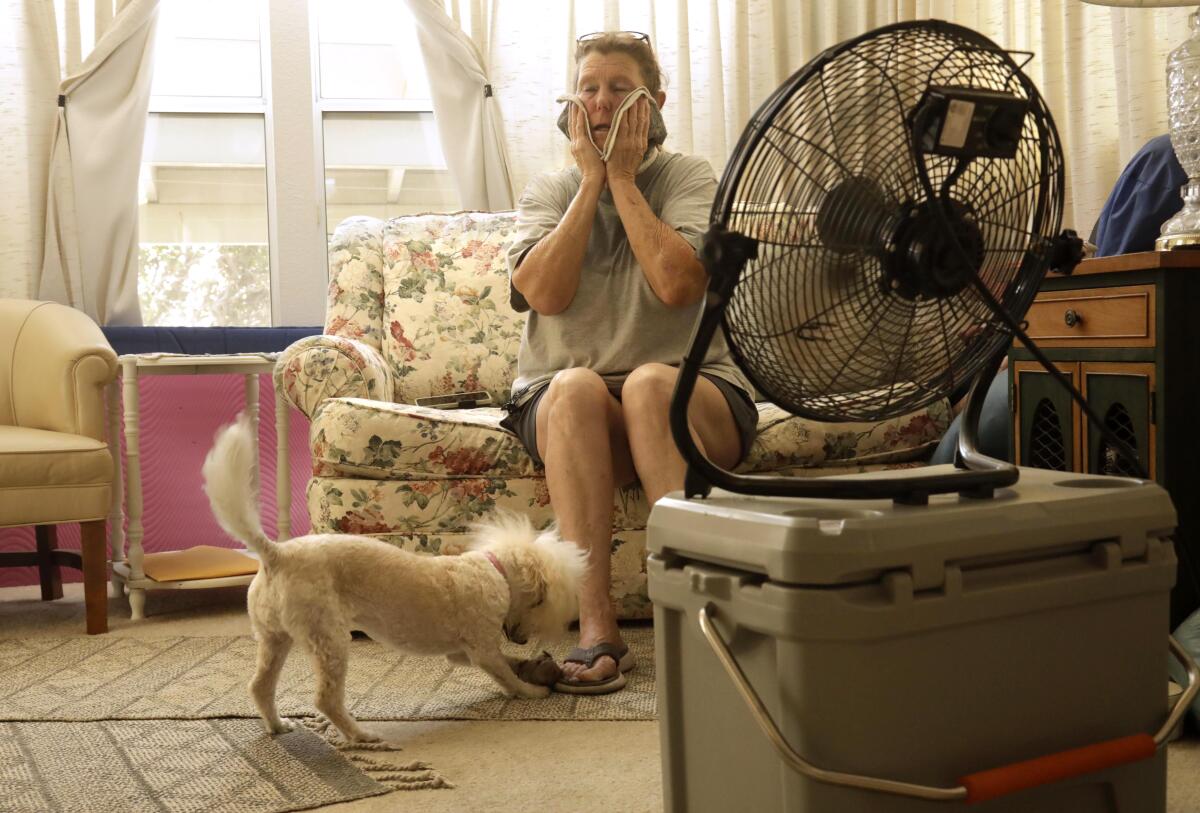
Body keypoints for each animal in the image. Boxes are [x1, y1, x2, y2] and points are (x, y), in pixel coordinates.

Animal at [202, 417, 585, 743]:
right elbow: (505, 672)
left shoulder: (461, 653)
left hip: (274, 638)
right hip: (328, 638)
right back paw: (361, 735)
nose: (523, 640)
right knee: (326, 699)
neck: (494, 570)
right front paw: (532, 690)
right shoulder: (481, 649)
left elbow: (508, 663)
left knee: (259, 687)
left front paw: (530, 666)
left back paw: (278, 725)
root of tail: (276, 555)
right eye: (540, 602)